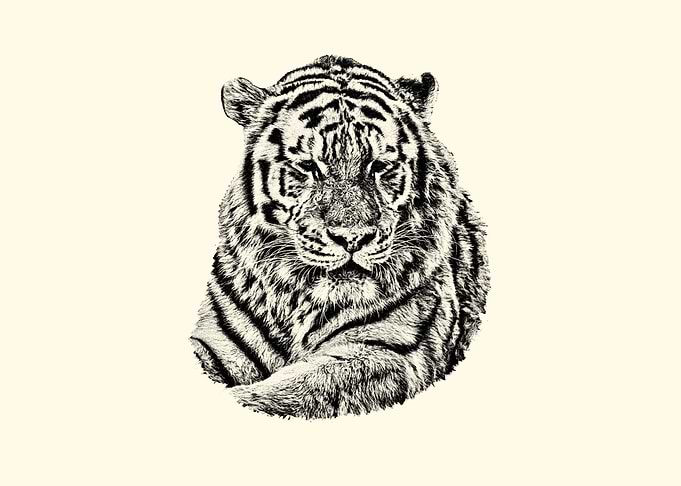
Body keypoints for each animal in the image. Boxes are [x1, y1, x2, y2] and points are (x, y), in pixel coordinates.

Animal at [190, 55, 490, 419]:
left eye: (379, 166)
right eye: (308, 167)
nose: (352, 238)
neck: (301, 304)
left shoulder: (387, 351)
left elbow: (293, 392)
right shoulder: (215, 340)